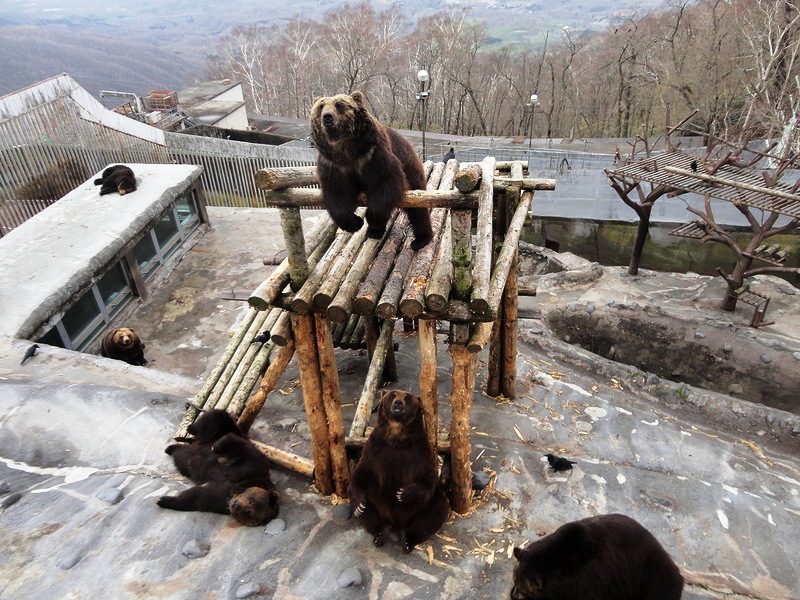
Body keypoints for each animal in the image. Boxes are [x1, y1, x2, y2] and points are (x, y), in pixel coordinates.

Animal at [308, 90, 432, 250]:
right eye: (320, 106)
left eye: (339, 105)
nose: (327, 117)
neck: (347, 150)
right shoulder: (333, 164)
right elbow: (336, 194)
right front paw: (355, 223)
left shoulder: (373, 154)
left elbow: (386, 182)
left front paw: (373, 224)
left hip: (410, 166)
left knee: (418, 207)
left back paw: (421, 239)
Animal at [350, 390, 450, 552]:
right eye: (392, 394)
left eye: (407, 397)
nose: (398, 403)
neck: (397, 439)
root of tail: (396, 523)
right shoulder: (376, 447)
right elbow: (362, 472)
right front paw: (359, 503)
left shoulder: (419, 450)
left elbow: (428, 478)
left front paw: (402, 493)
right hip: (377, 498)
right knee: (368, 510)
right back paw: (378, 533)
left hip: (420, 507)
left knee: (436, 510)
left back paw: (408, 541)